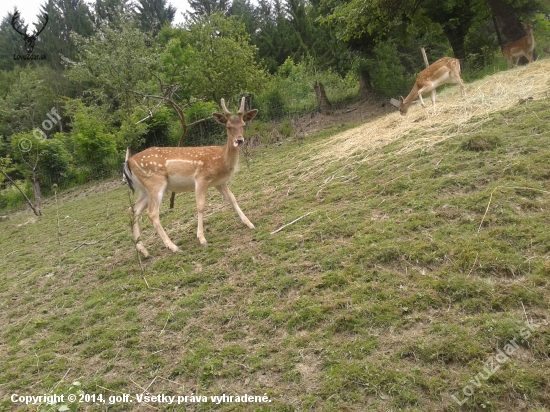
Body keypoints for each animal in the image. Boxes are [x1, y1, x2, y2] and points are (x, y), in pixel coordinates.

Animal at [126, 97, 260, 258]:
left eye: (243, 125)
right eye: (228, 126)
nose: (239, 140)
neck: (221, 160)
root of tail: (128, 162)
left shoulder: (219, 183)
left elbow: (232, 199)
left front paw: (250, 224)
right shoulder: (201, 178)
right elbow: (200, 206)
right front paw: (202, 239)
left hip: (144, 189)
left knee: (133, 210)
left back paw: (145, 252)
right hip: (155, 182)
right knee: (152, 213)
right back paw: (174, 247)